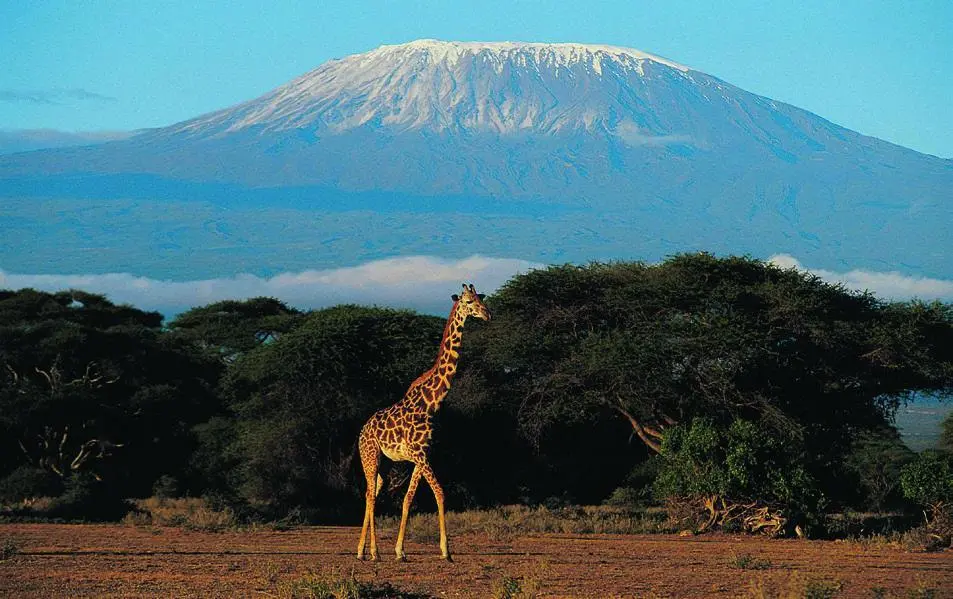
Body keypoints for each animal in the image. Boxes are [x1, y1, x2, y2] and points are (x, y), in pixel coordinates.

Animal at [356, 284, 490, 560]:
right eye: (468, 301)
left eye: (482, 299)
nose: (487, 314)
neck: (432, 402)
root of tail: (361, 431)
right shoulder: (420, 455)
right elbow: (440, 492)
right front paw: (446, 551)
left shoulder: (423, 455)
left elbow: (408, 498)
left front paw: (400, 551)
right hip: (369, 456)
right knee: (370, 494)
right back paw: (373, 552)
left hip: (385, 463)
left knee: (371, 491)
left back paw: (362, 551)